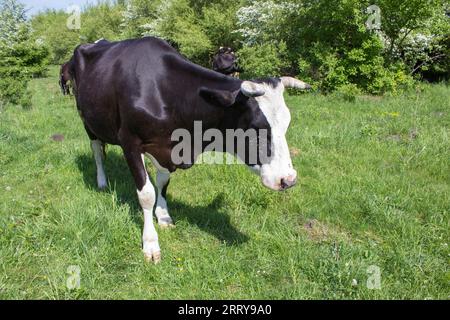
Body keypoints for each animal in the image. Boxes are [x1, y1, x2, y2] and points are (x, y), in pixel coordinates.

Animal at [72, 37, 312, 262]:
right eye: (256, 127)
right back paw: (101, 181)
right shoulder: (130, 142)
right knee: (97, 151)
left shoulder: (167, 150)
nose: (288, 179)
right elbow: (146, 194)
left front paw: (163, 216)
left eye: (287, 124)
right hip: (87, 121)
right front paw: (150, 243)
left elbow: (162, 183)